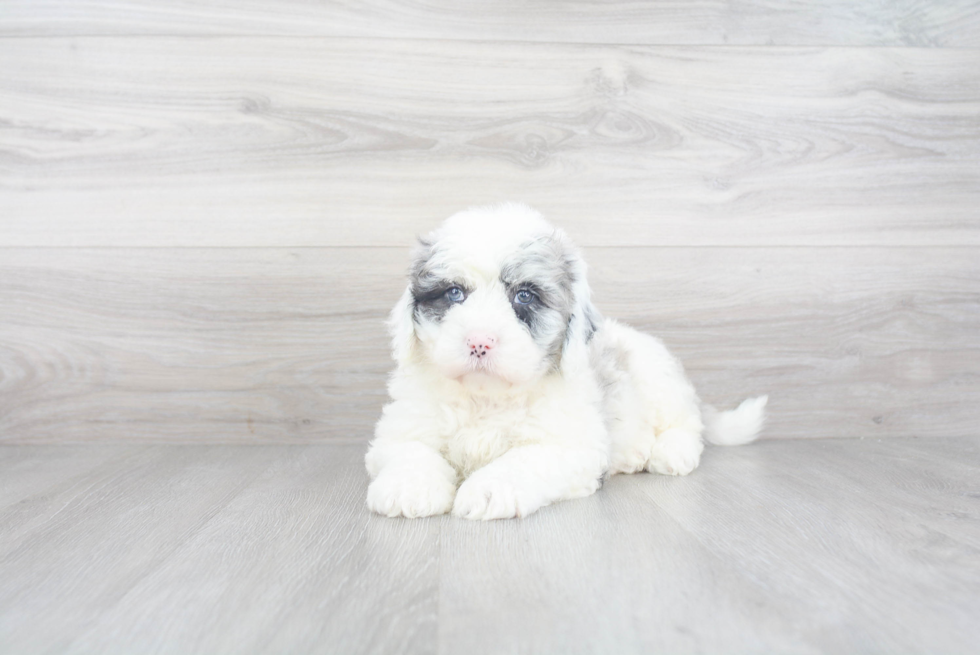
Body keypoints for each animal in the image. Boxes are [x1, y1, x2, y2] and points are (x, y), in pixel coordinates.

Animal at [364, 205, 768, 524]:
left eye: (524, 296)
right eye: (453, 293)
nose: (479, 341)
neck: (487, 400)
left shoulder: (569, 446)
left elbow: (524, 459)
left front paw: (490, 490)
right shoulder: (399, 431)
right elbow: (412, 451)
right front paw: (407, 487)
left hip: (659, 380)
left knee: (687, 424)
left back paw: (671, 452)